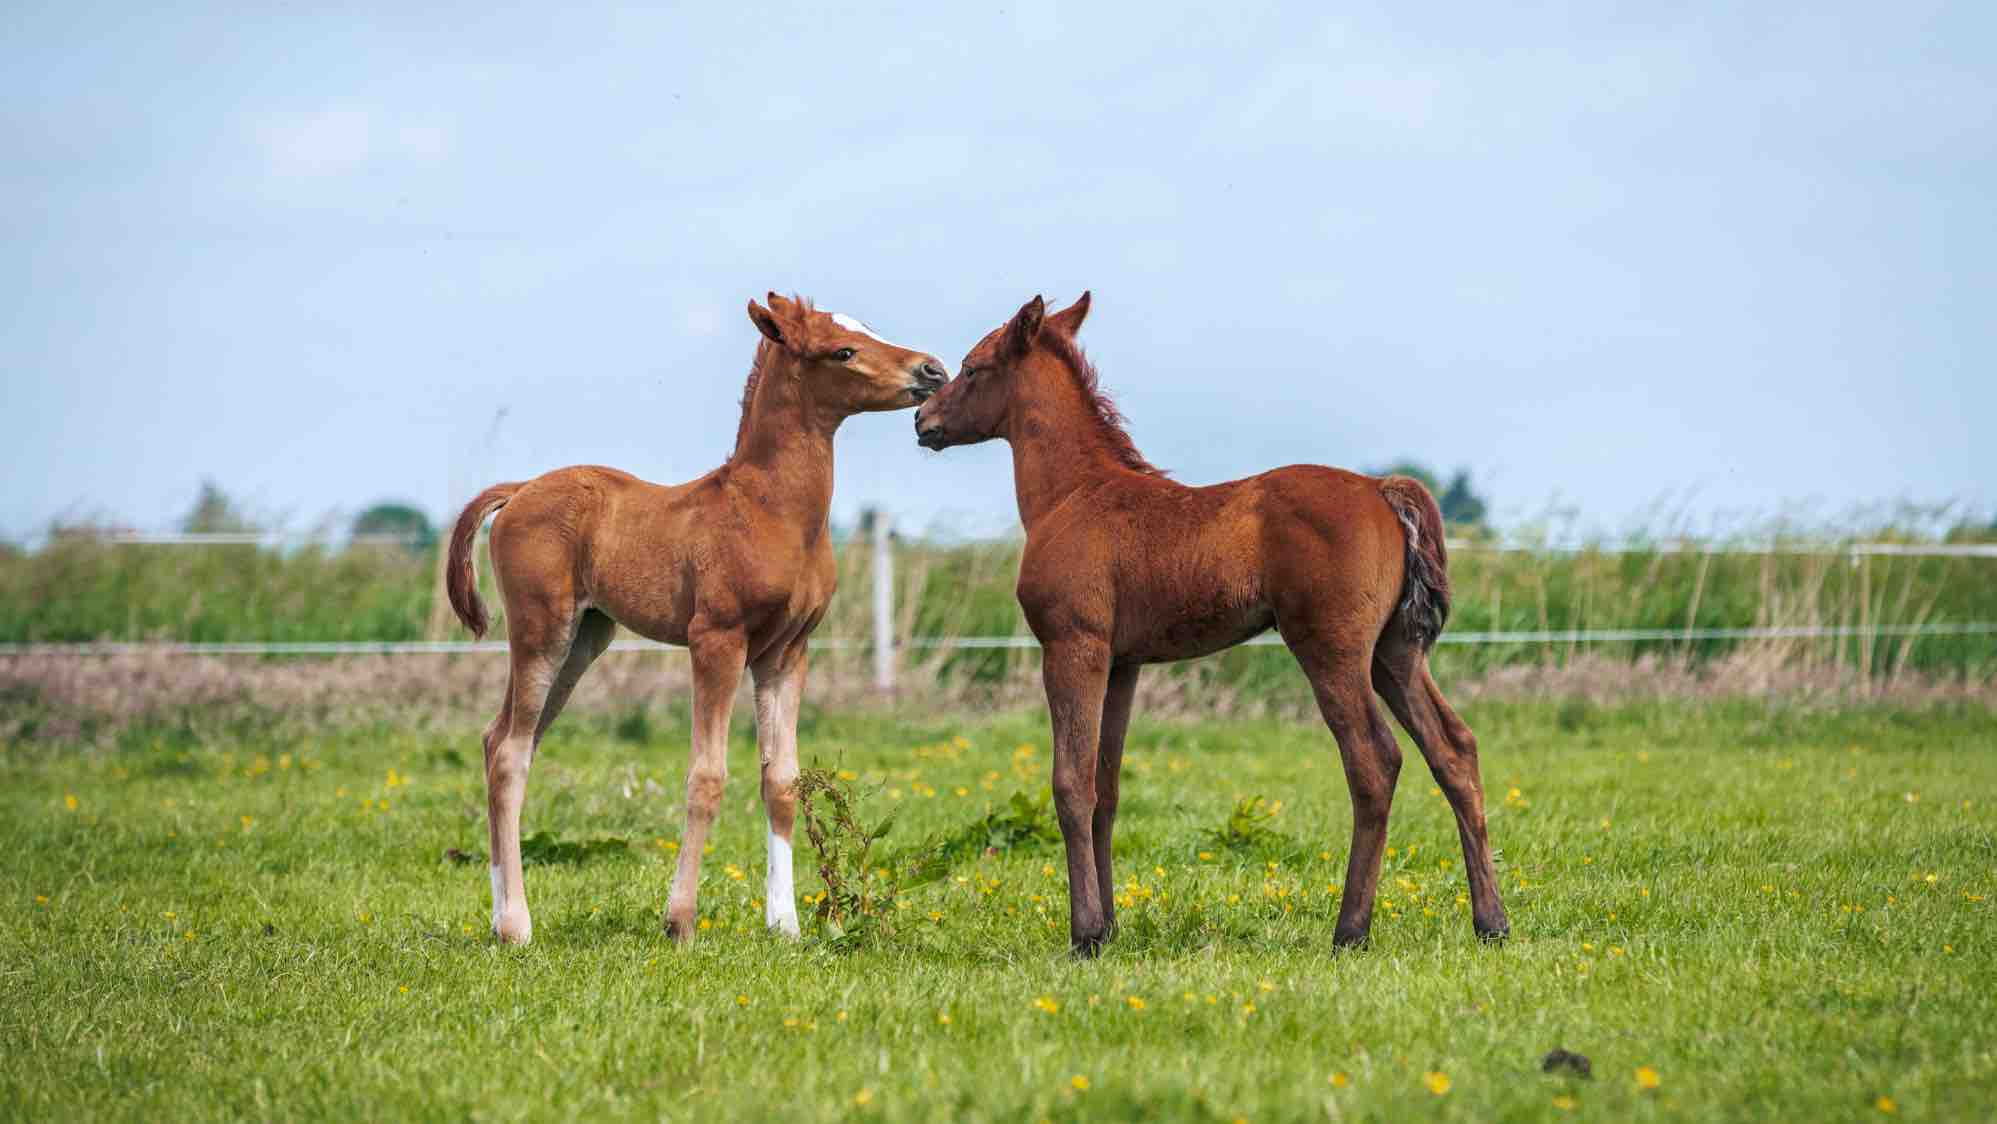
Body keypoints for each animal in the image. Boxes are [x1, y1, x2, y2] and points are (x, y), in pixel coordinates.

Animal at [445, 293, 946, 945]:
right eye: (843, 350)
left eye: (870, 330)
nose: (932, 370)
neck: (771, 511)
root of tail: (521, 488)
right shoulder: (717, 642)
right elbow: (706, 777)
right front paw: (680, 921)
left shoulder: (786, 653)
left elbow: (782, 781)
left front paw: (785, 925)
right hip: (540, 631)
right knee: (509, 753)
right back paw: (516, 926)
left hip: (586, 638)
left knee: (498, 740)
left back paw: (497, 913)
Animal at [912, 292, 1507, 954]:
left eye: (973, 367)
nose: (922, 420)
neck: (1074, 495)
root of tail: (1382, 488)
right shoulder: (1123, 664)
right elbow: (1106, 791)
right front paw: (1110, 926)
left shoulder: (1073, 647)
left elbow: (1071, 784)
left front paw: (1085, 934)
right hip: (1395, 654)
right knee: (1453, 749)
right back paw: (1491, 922)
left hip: (1331, 649)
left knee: (1375, 761)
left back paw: (1350, 930)